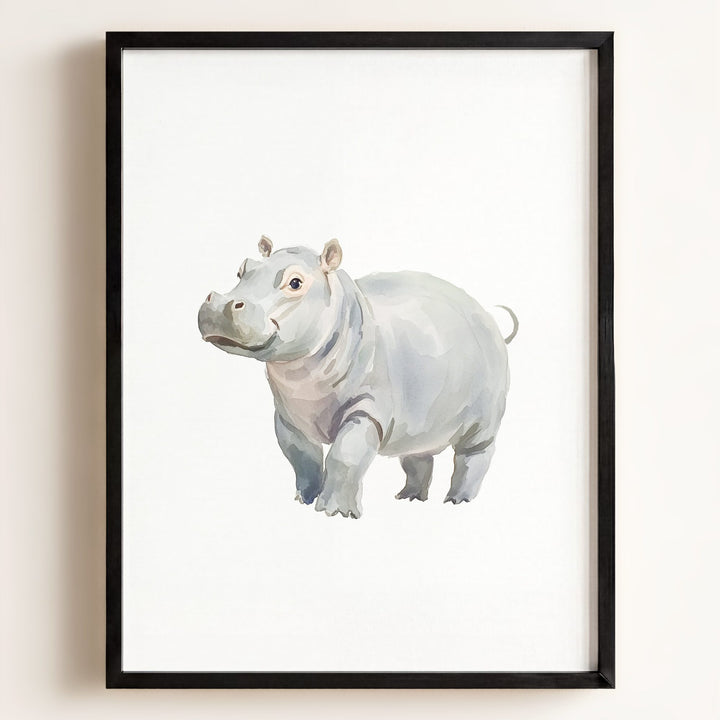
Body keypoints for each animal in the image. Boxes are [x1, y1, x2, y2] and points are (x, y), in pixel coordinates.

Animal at [198, 236, 518, 519]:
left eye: (296, 282)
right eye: (242, 269)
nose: (221, 304)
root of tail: (491, 321)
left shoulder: (367, 409)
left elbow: (345, 456)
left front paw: (334, 513)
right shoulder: (288, 416)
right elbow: (301, 456)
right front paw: (304, 500)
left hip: (485, 417)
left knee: (473, 454)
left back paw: (457, 502)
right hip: (421, 417)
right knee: (417, 455)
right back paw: (408, 498)